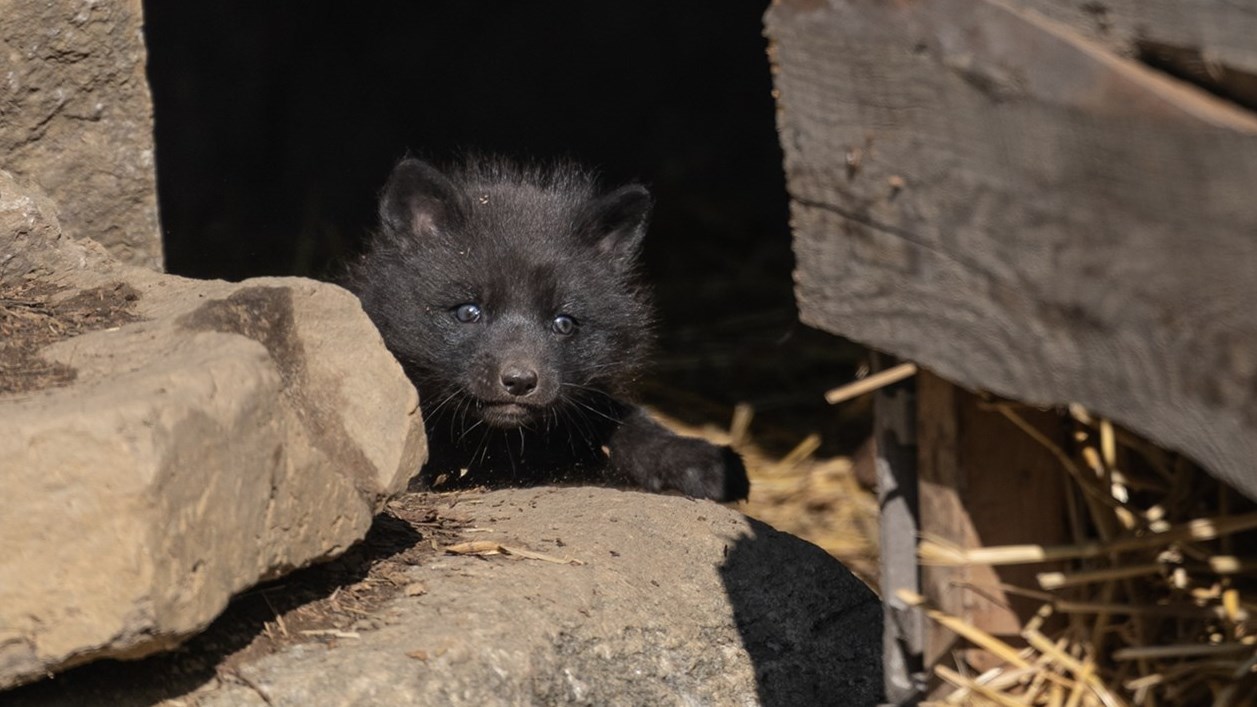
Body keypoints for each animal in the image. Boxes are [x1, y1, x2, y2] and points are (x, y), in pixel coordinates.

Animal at [344, 156, 749, 502]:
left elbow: (628, 421)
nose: (520, 382)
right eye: (468, 312)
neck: (499, 444)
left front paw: (699, 460)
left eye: (564, 323)